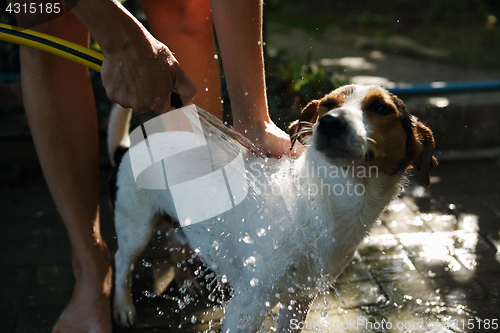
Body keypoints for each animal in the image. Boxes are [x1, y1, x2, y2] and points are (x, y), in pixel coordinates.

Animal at [107, 83, 436, 330]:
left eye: (381, 108)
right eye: (327, 105)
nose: (330, 123)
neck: (320, 207)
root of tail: (132, 147)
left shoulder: (298, 301)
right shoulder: (247, 305)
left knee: (175, 241)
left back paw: (187, 282)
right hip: (136, 226)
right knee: (122, 260)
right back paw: (122, 307)